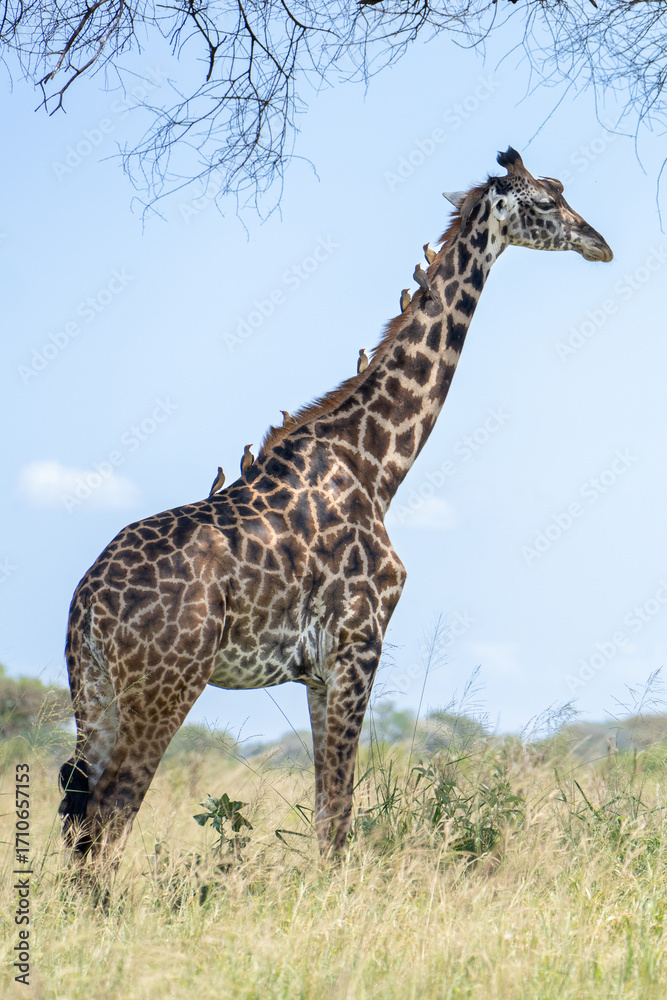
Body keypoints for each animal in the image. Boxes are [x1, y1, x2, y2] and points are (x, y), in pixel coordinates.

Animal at [59, 147, 612, 866]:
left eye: (562, 192)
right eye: (545, 202)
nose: (599, 243)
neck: (376, 464)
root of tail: (87, 603)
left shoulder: (317, 675)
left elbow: (328, 812)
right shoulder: (357, 647)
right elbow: (339, 814)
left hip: (94, 691)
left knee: (80, 820)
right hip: (165, 684)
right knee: (109, 815)